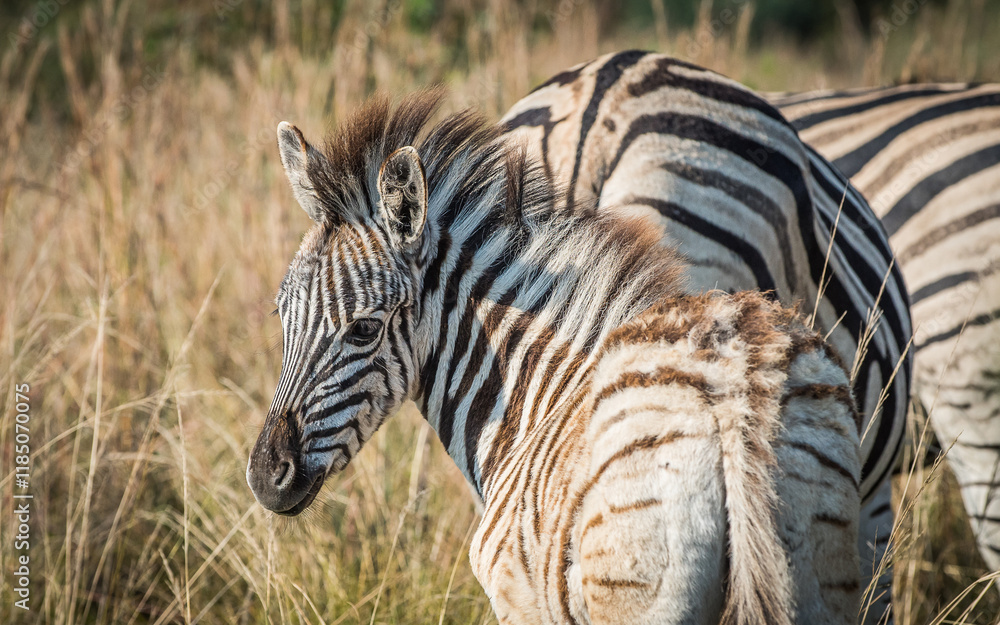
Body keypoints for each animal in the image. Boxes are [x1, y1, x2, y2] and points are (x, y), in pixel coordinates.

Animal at [245, 91, 865, 624]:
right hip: (820, 562)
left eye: (364, 330)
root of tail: (736, 393)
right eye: (280, 315)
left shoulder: (520, 600)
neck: (534, 392)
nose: (264, 478)